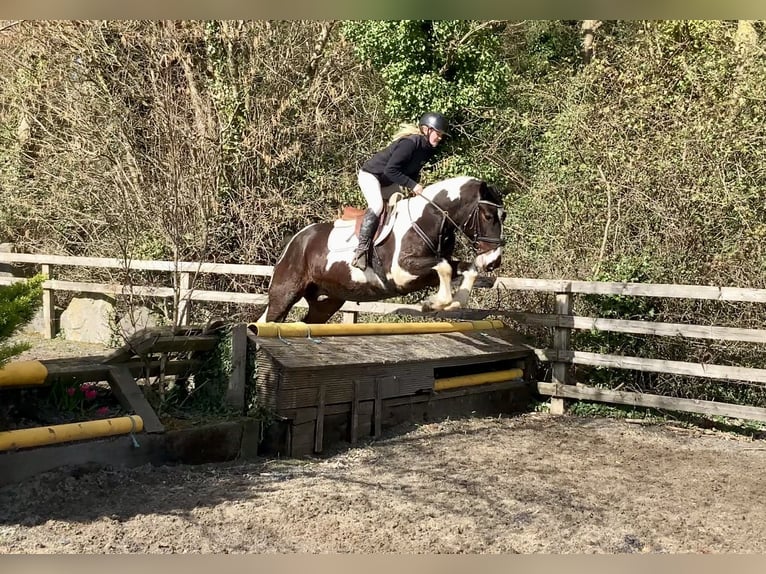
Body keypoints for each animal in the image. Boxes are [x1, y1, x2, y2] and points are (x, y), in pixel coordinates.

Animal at [258, 175, 506, 324]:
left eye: (503, 216)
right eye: (488, 216)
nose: (494, 261)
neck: (430, 218)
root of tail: (294, 241)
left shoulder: (423, 275)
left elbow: (465, 269)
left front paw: (454, 302)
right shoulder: (402, 271)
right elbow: (444, 266)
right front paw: (431, 303)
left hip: (327, 301)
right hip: (285, 293)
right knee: (270, 320)